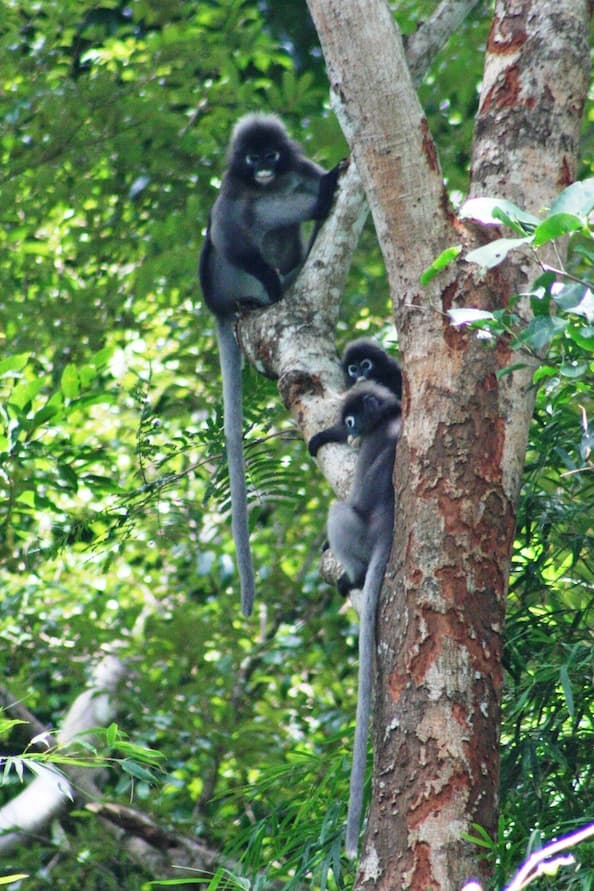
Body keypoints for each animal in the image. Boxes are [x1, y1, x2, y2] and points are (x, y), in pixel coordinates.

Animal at [199, 113, 341, 617]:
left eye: (271, 154)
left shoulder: (294, 167)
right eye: (252, 156)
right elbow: (226, 231)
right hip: (227, 279)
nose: (262, 169)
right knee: (240, 229)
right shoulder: (232, 188)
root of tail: (218, 306)